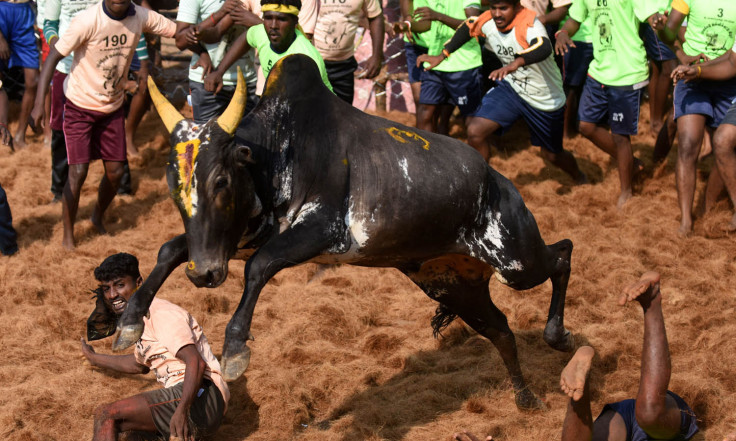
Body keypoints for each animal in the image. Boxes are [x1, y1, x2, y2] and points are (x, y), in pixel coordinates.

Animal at [113, 55, 576, 410]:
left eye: (221, 180)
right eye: (174, 185)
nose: (204, 274)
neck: (278, 149)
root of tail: (499, 181)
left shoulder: (322, 232)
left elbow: (260, 267)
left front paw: (235, 350)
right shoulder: (243, 237)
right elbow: (170, 250)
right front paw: (129, 324)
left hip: (516, 262)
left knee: (563, 254)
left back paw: (558, 338)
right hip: (453, 283)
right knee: (501, 329)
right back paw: (526, 398)